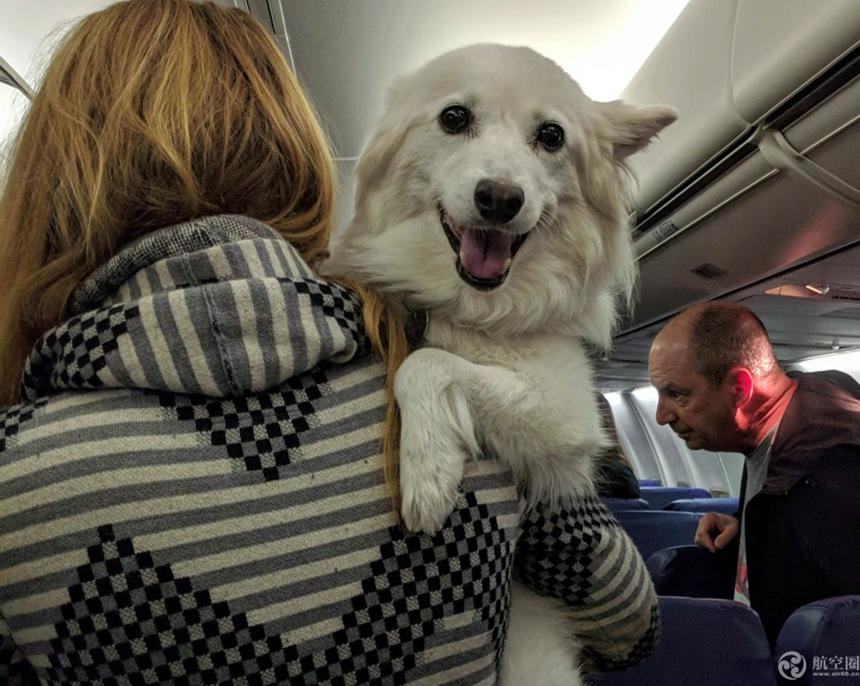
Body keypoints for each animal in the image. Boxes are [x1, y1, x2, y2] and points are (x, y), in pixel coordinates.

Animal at [326, 44, 676, 686]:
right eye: (454, 118)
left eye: (552, 135)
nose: (499, 198)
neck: (472, 306)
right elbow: (430, 357)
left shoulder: (564, 409)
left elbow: (426, 362)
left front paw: (427, 469)